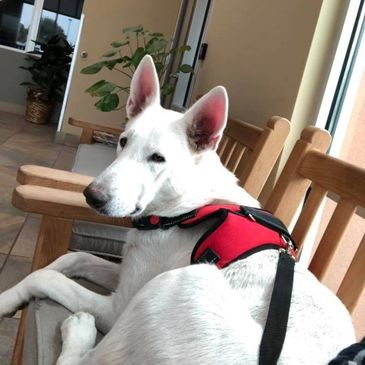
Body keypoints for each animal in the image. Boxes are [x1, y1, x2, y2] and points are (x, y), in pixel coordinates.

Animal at [0, 54, 352, 364]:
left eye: (158, 158)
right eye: (123, 141)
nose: (92, 196)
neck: (186, 208)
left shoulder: (118, 306)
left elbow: (44, 276)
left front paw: (5, 300)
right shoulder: (129, 271)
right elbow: (72, 258)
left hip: (183, 282)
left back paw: (79, 330)